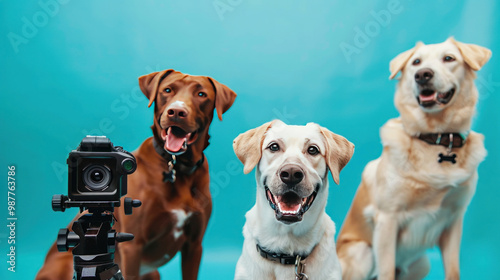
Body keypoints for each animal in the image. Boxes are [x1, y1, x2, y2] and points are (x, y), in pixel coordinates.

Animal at [36, 69, 236, 278]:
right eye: (167, 90)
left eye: (201, 94)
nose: (176, 112)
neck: (177, 166)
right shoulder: (133, 247)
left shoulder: (194, 245)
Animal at [336, 37, 492, 280]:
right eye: (416, 62)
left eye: (449, 58)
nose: (422, 75)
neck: (437, 138)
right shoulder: (387, 219)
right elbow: (386, 271)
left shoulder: (454, 221)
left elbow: (453, 270)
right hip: (362, 252)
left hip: (422, 264)